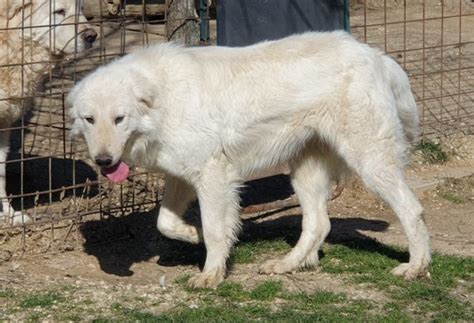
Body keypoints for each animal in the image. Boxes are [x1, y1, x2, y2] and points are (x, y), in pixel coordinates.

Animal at [68, 31, 432, 290]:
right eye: (89, 119)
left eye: (119, 119)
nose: (103, 160)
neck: (162, 101)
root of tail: (376, 54)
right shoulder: (182, 177)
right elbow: (166, 223)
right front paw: (193, 235)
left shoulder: (213, 176)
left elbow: (215, 229)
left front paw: (211, 274)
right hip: (304, 171)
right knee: (318, 223)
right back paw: (288, 264)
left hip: (370, 162)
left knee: (412, 210)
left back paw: (416, 267)